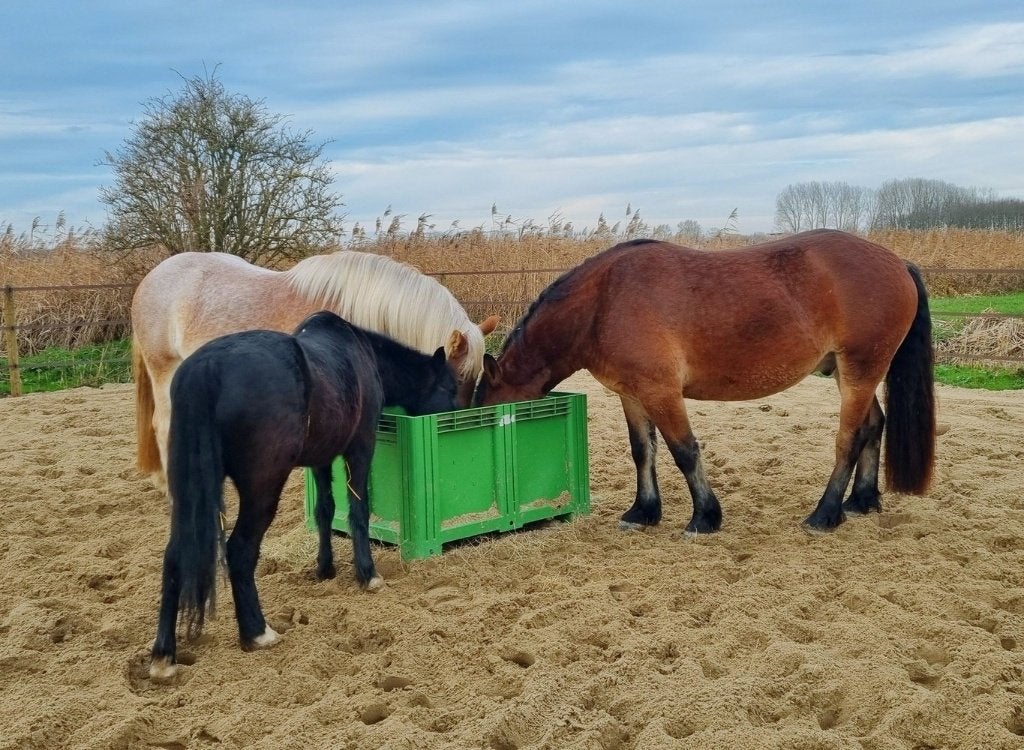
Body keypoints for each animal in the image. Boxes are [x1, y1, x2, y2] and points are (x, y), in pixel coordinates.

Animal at [150, 310, 460, 680]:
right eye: (450, 387)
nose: (457, 417)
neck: (360, 353)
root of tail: (207, 369)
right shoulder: (359, 448)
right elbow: (358, 510)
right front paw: (367, 574)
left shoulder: (321, 458)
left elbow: (325, 509)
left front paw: (325, 569)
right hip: (262, 489)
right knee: (240, 549)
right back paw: (257, 632)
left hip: (190, 492)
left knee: (175, 555)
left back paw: (163, 656)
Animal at [475, 229, 936, 536]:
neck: (604, 301)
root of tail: (898, 263)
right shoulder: (632, 395)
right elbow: (643, 452)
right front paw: (643, 512)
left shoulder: (662, 392)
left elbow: (684, 450)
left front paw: (705, 517)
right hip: (847, 372)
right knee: (874, 425)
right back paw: (861, 501)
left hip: (860, 370)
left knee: (849, 439)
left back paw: (825, 514)